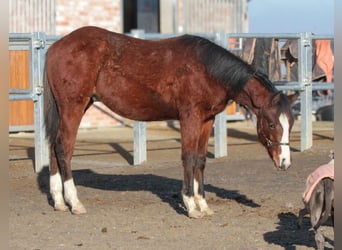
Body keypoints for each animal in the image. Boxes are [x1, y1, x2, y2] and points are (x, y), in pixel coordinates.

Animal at [44, 26, 298, 219]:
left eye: (291, 123)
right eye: (272, 124)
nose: (285, 162)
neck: (206, 70)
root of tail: (56, 47)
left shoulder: (206, 120)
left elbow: (200, 160)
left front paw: (203, 204)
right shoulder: (189, 118)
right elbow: (188, 158)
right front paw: (191, 206)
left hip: (73, 106)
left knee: (53, 146)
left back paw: (59, 201)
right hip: (73, 106)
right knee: (63, 147)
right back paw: (74, 202)